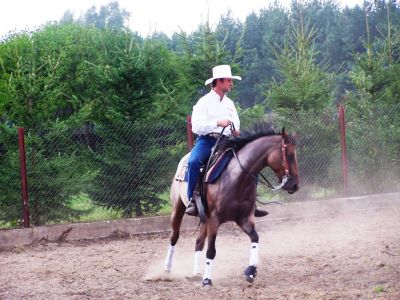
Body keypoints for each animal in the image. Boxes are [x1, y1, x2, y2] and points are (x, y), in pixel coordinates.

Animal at [162, 123, 296, 286]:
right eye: (289, 155)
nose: (295, 185)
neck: (236, 178)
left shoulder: (244, 218)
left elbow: (255, 238)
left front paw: (251, 271)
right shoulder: (214, 219)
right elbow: (211, 250)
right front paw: (207, 280)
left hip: (204, 218)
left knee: (199, 242)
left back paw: (196, 273)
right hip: (178, 209)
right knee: (174, 237)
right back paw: (167, 270)